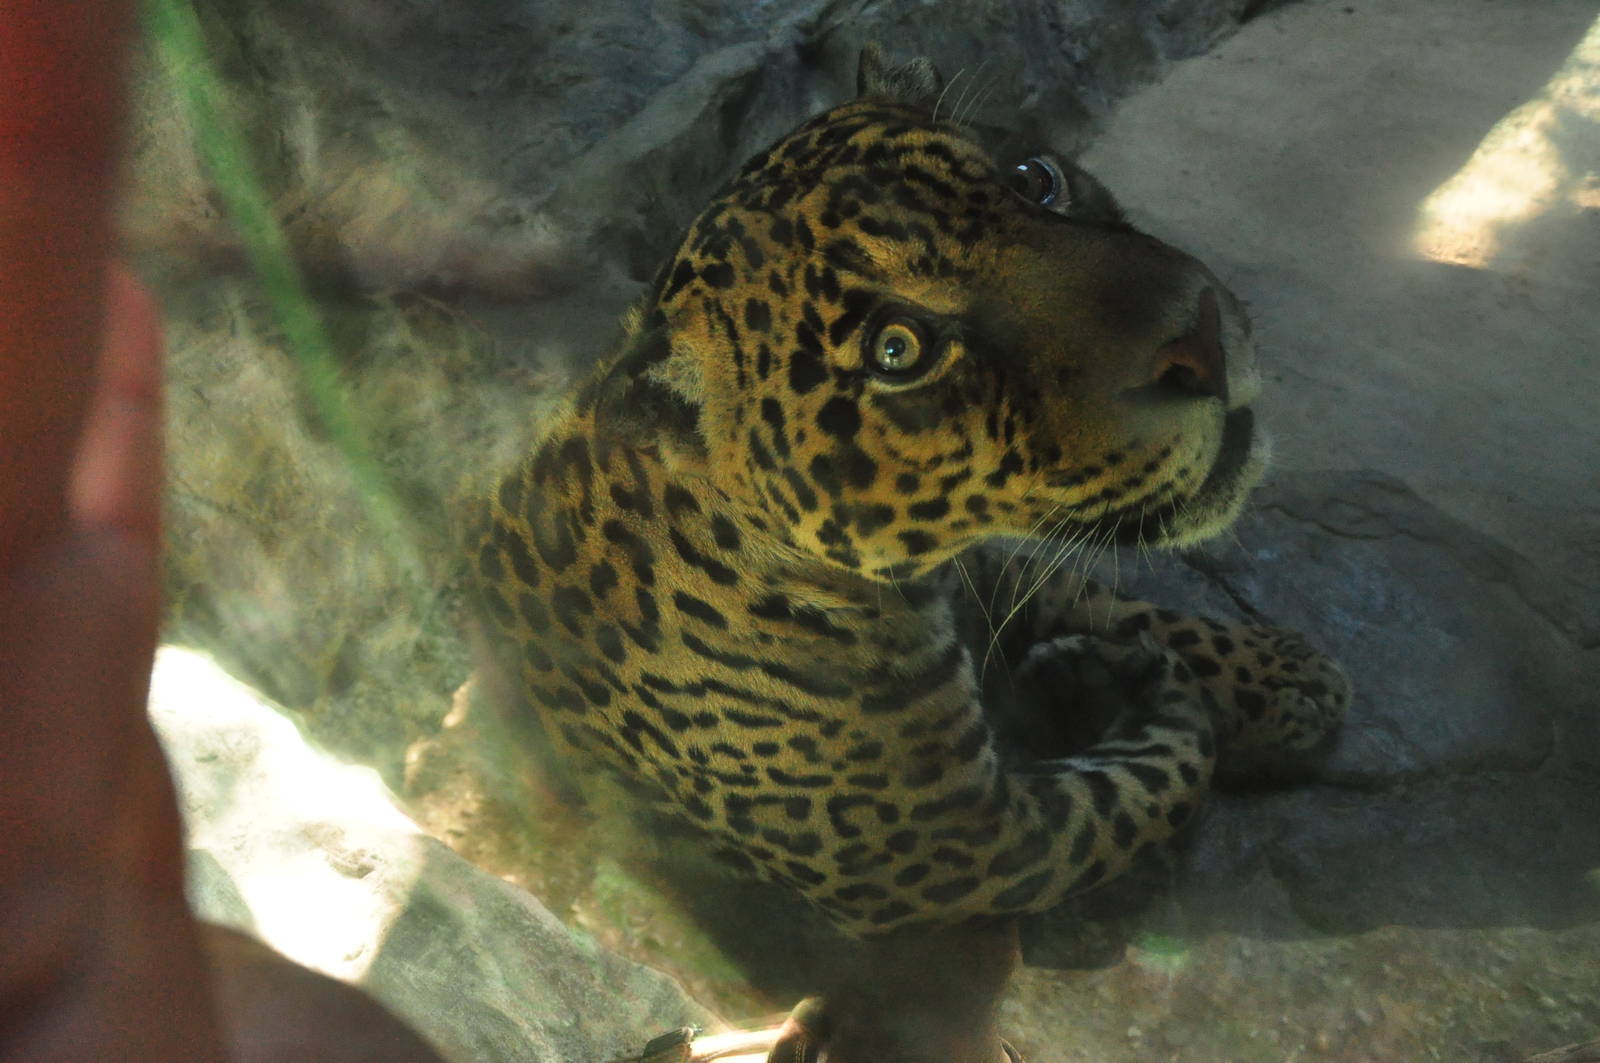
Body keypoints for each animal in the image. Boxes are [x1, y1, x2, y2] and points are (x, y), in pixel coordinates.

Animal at [470, 44, 1350, 1063]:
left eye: (1035, 180)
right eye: (899, 349)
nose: (1202, 334)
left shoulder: (979, 574)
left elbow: (1091, 592)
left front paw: (1280, 676)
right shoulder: (957, 847)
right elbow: (1156, 777)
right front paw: (1118, 686)